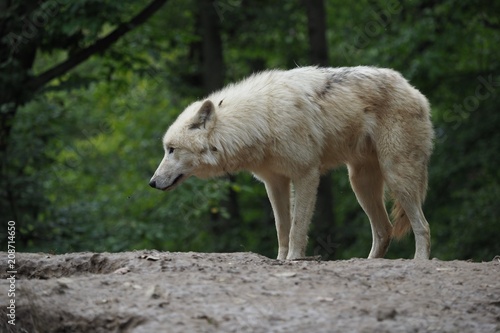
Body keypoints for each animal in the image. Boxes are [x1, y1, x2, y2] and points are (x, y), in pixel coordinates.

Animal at [148, 65, 434, 260]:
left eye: (171, 150)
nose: (151, 182)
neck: (259, 120)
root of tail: (416, 92)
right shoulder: (274, 183)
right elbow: (281, 228)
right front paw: (280, 259)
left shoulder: (306, 175)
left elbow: (297, 227)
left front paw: (295, 259)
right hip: (360, 184)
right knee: (384, 230)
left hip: (396, 174)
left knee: (422, 226)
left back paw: (419, 261)